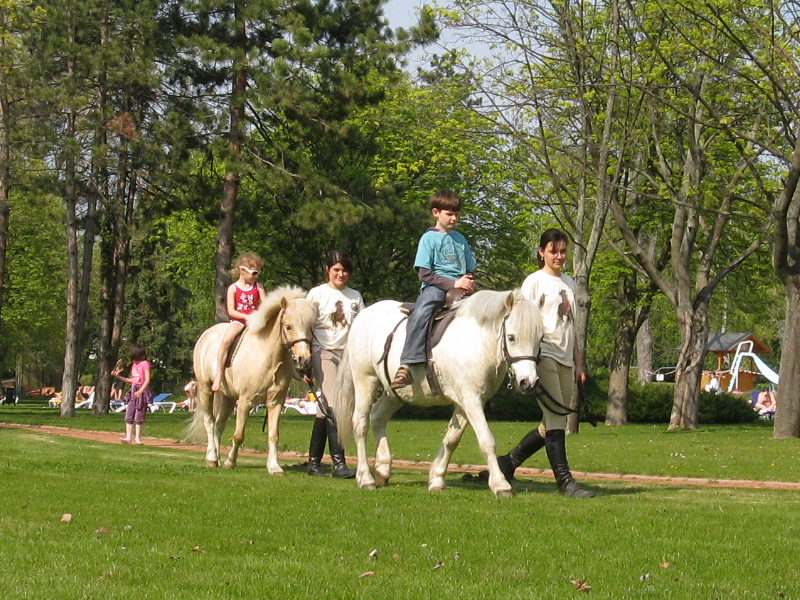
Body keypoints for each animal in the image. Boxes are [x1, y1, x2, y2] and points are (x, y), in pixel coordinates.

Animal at [188, 286, 316, 474]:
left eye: (310, 327)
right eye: (288, 326)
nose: (304, 360)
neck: (269, 357)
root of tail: (207, 334)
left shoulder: (276, 402)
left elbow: (273, 435)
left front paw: (274, 467)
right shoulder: (245, 401)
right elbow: (238, 435)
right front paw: (230, 462)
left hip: (228, 398)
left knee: (219, 425)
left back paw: (217, 458)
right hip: (206, 389)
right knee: (209, 422)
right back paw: (211, 458)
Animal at [332, 290, 544, 496]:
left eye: (539, 339)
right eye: (512, 337)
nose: (528, 382)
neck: (477, 342)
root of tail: (364, 315)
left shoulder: (466, 402)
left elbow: (451, 440)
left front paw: (437, 479)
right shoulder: (471, 400)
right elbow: (487, 440)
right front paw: (500, 484)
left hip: (396, 393)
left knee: (378, 417)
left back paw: (383, 469)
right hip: (365, 380)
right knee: (360, 424)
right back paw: (365, 478)